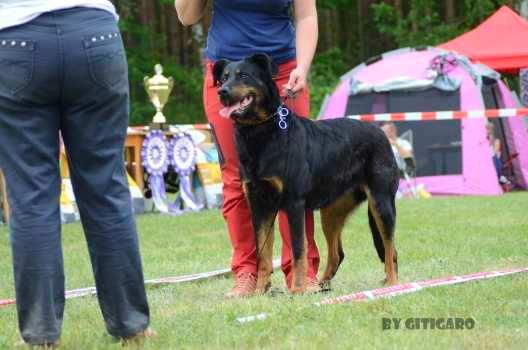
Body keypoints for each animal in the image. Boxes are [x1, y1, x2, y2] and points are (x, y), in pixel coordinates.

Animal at [212, 52, 398, 292]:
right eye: (223, 78)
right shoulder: (259, 205)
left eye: (243, 75)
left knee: (390, 248)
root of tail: (381, 132)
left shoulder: (294, 203)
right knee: (337, 254)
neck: (261, 132)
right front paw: (260, 291)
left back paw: (392, 284)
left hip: (380, 201)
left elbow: (299, 251)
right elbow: (263, 253)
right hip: (332, 211)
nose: (222, 92)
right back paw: (320, 287)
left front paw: (298, 290)